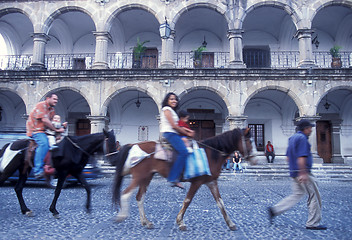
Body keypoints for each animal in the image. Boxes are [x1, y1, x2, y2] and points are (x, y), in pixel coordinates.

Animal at [111, 127, 258, 231]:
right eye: (249, 141)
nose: (255, 160)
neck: (210, 153)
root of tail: (133, 145)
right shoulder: (197, 182)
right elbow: (187, 200)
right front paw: (180, 222)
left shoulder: (211, 182)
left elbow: (220, 203)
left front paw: (231, 223)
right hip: (140, 176)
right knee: (126, 193)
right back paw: (122, 216)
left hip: (147, 177)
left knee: (139, 197)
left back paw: (145, 221)